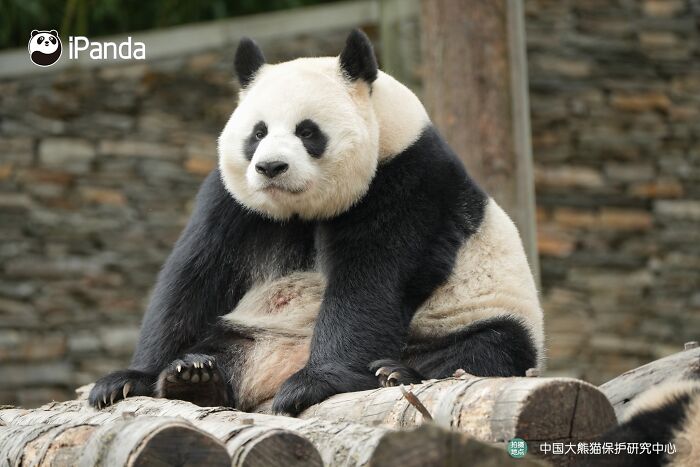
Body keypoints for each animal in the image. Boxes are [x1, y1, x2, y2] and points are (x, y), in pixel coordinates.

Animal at [89, 29, 544, 415]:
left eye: (307, 132)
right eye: (258, 132)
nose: (271, 167)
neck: (300, 210)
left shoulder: (405, 182)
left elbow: (370, 281)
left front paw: (314, 383)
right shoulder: (232, 201)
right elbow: (195, 275)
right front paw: (131, 379)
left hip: (476, 314)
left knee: (489, 346)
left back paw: (395, 372)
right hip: (254, 334)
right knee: (225, 346)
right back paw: (197, 378)